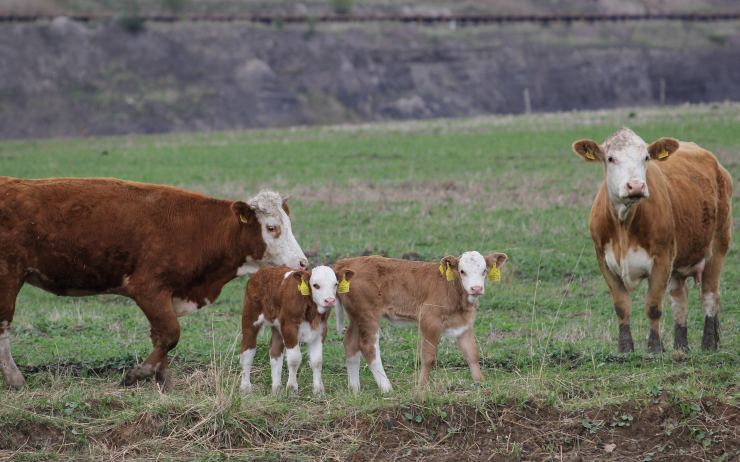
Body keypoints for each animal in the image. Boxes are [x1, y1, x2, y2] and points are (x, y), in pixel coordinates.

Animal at [0, 178, 306, 390]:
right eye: (271, 228)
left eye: (290, 224)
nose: (303, 263)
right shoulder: (148, 288)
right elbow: (170, 334)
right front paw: (139, 374)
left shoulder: (164, 296)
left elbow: (160, 336)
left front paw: (163, 380)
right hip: (8, 276)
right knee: (3, 325)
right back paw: (15, 379)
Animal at [241, 266, 348, 396]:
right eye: (315, 285)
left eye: (335, 284)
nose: (330, 300)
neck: (311, 312)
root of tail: (262, 270)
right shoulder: (289, 328)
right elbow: (294, 359)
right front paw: (292, 388)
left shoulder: (321, 330)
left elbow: (317, 361)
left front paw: (319, 390)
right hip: (250, 318)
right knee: (247, 351)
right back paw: (245, 387)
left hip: (278, 327)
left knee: (275, 352)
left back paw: (276, 388)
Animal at [332, 251, 506, 396]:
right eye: (462, 271)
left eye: (484, 271)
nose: (476, 288)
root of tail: (346, 262)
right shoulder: (429, 319)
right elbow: (428, 356)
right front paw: (422, 386)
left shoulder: (463, 324)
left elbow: (472, 354)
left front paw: (480, 383)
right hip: (367, 315)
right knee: (368, 346)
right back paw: (386, 388)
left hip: (356, 316)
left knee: (350, 343)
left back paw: (355, 389)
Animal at [572, 128, 728, 352]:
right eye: (610, 158)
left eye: (646, 157)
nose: (636, 186)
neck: (624, 224)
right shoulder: (604, 261)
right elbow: (621, 306)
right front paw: (625, 349)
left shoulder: (662, 259)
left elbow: (653, 306)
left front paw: (655, 348)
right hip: (678, 264)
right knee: (680, 300)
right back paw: (681, 346)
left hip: (718, 246)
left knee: (709, 295)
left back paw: (708, 344)